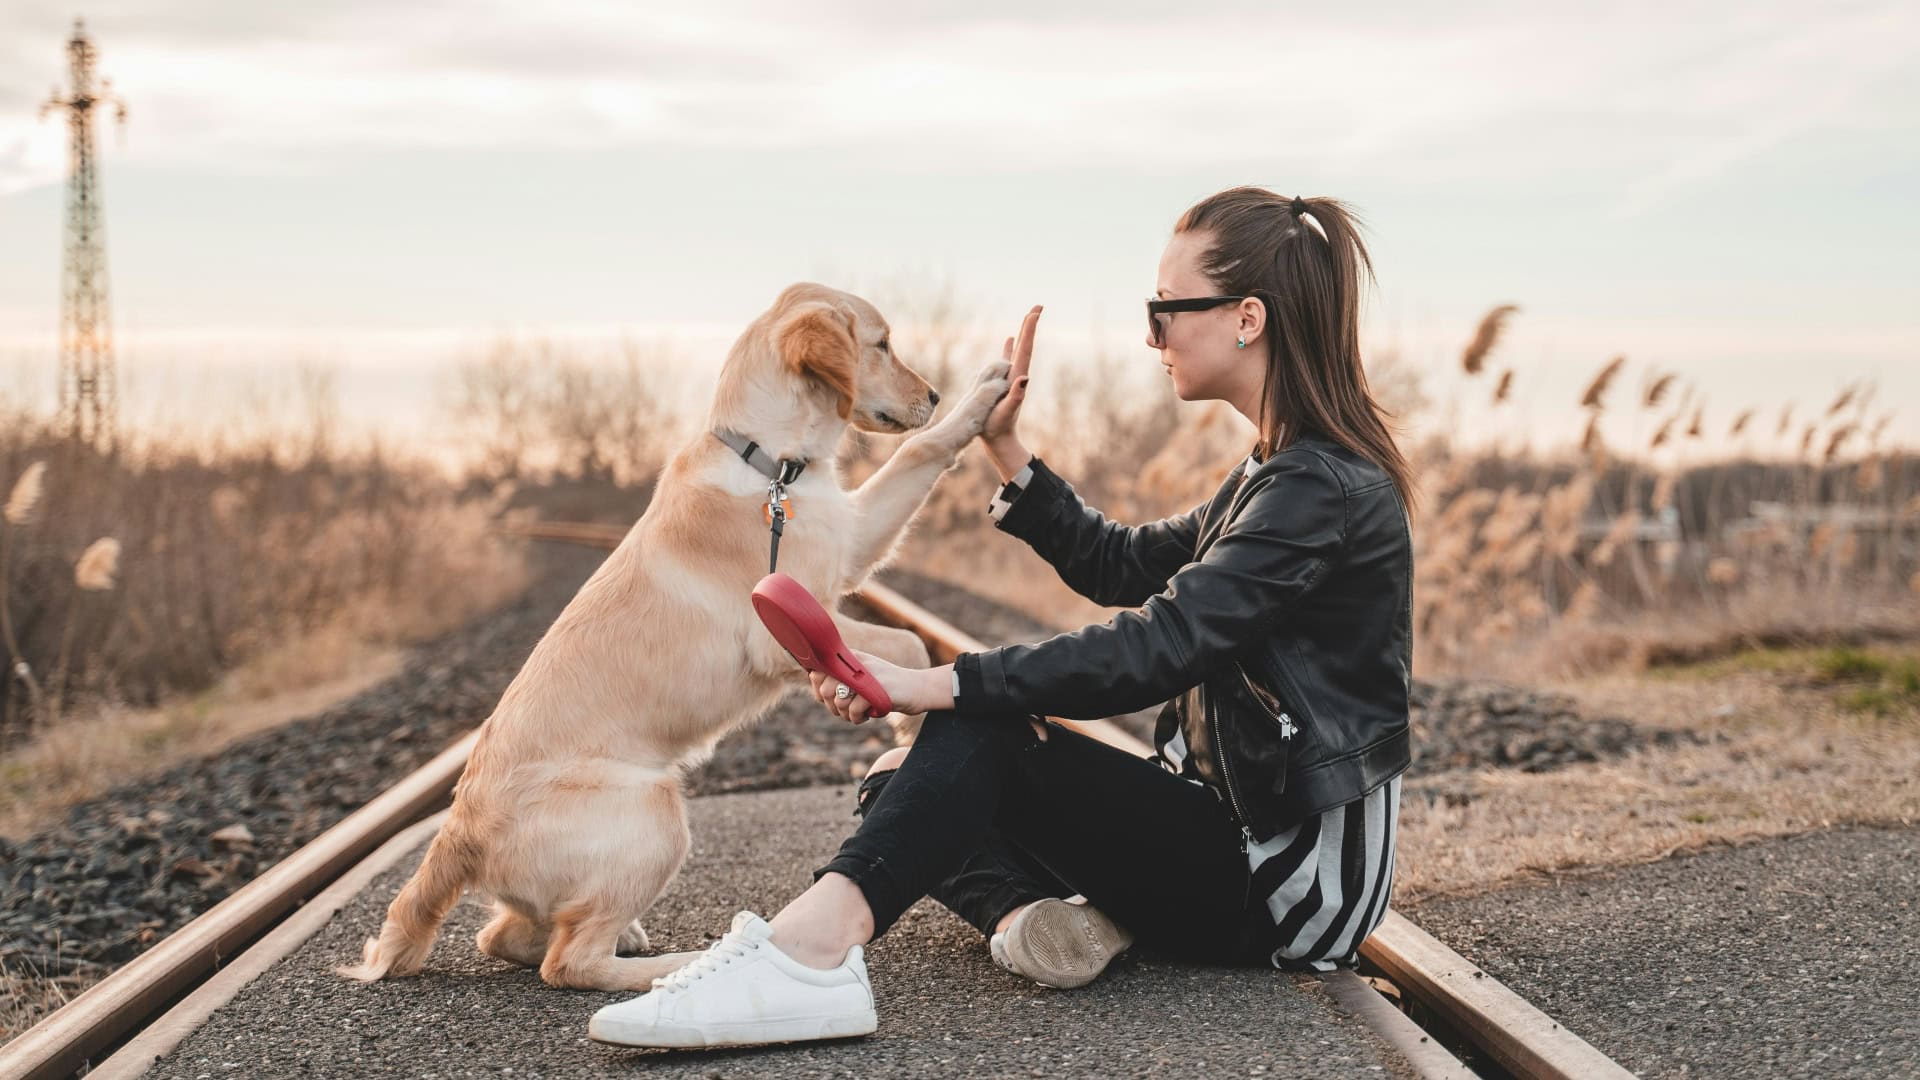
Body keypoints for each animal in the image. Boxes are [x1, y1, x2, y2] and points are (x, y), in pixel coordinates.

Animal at [337, 282, 1013, 991]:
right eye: (881, 344)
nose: (933, 394)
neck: (772, 466)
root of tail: (457, 832)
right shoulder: (783, 625)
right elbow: (907, 646)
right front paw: (910, 725)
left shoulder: (850, 542)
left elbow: (921, 453)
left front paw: (983, 393)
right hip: (656, 811)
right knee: (567, 961)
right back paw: (686, 963)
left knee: (503, 937)